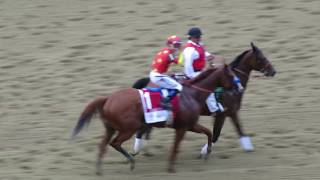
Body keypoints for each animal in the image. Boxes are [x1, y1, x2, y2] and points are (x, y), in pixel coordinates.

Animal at [70, 65, 235, 174]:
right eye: (231, 76)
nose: (237, 89)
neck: (192, 94)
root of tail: (108, 99)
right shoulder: (183, 128)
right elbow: (176, 147)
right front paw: (171, 168)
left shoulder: (190, 125)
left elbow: (208, 132)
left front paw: (206, 153)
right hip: (129, 128)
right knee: (115, 143)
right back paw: (131, 161)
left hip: (111, 128)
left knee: (102, 145)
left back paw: (99, 170)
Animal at [131, 43, 276, 155]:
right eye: (261, 57)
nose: (273, 71)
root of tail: (148, 81)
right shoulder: (221, 114)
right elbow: (216, 134)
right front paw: (204, 151)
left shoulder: (232, 112)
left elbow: (240, 129)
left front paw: (248, 147)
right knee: (144, 129)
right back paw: (138, 149)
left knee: (147, 128)